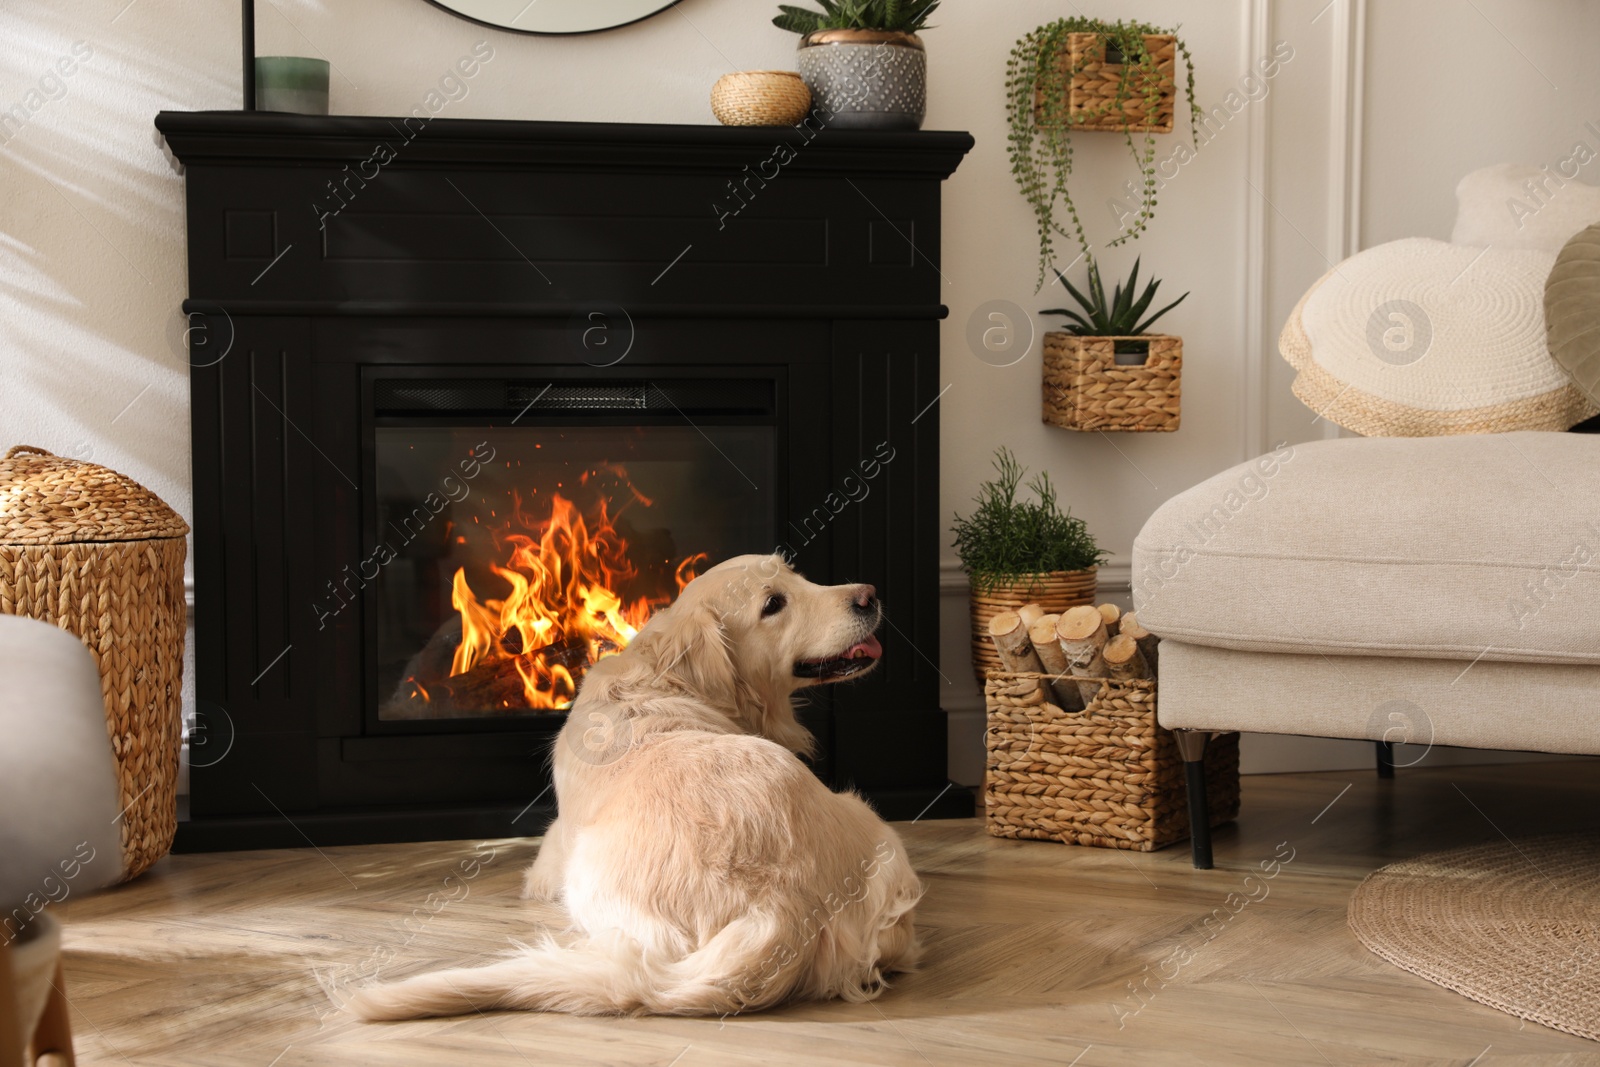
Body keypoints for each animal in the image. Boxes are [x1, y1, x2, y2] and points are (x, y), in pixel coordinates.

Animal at [350, 556, 928, 1023]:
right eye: (773, 604)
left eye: (798, 575)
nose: (869, 594)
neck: (667, 678)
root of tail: (784, 907)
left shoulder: (549, 859)